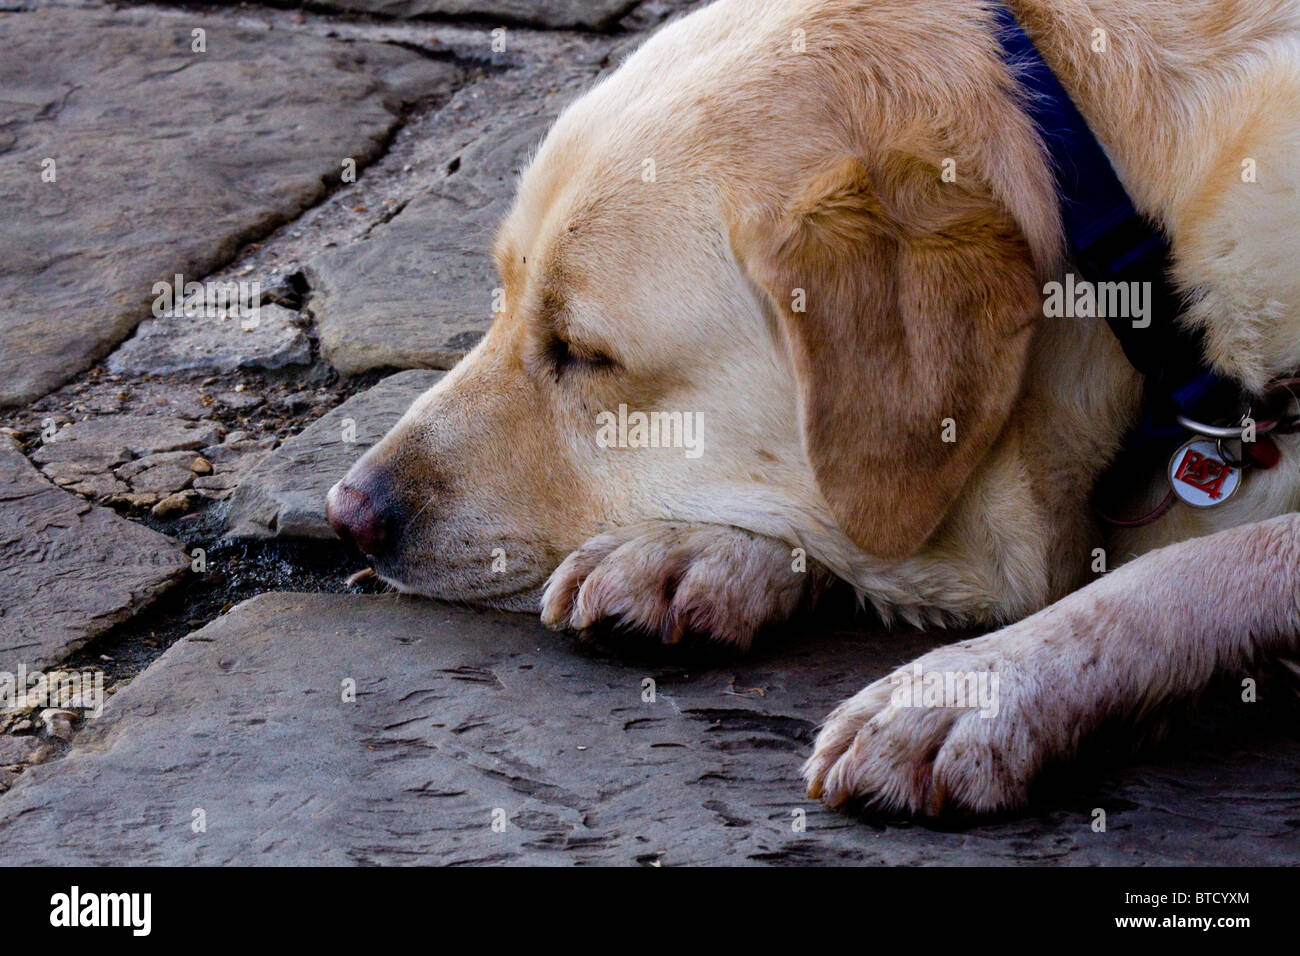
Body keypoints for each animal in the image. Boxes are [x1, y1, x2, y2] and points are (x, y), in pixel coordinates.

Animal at [325, 0, 1300, 816]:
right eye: (501, 291)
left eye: (584, 353)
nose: (348, 514)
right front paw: (692, 552)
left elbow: (1202, 563)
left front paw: (980, 686)